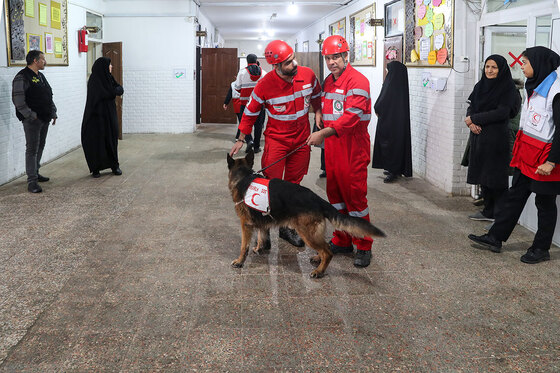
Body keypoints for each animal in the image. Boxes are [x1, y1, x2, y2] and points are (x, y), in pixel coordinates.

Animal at [228, 150, 384, 276]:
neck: (243, 176)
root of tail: (317, 199)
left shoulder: (245, 225)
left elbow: (244, 247)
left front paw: (240, 261)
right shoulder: (261, 222)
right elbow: (261, 236)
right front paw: (259, 248)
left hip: (307, 233)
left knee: (328, 252)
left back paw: (319, 271)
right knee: (326, 248)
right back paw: (318, 259)